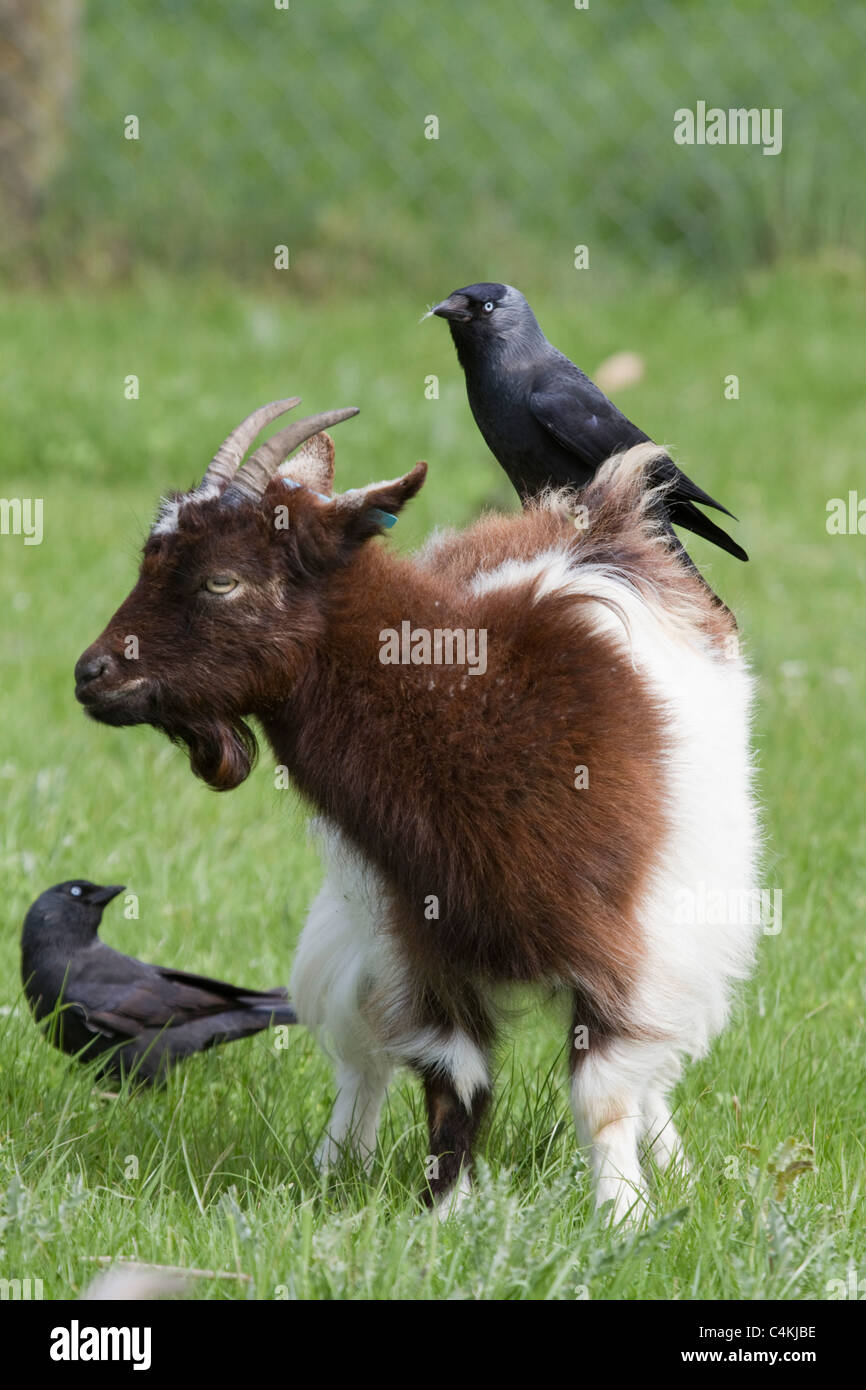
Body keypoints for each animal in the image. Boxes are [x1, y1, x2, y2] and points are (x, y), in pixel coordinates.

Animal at [77, 397, 761, 1223]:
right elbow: (453, 1080)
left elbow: (603, 1090)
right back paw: (336, 1164)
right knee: (359, 1049)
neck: (491, 713)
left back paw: (676, 1170)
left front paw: (624, 1215)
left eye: (221, 581)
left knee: (653, 1067)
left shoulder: (625, 942)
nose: (91, 674)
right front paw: (444, 1214)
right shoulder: (421, 936)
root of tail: (600, 517)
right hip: (357, 923)